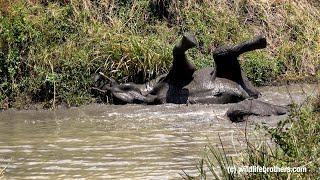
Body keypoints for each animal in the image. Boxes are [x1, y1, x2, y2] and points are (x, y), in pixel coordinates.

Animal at [92, 33, 288, 121]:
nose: (100, 83)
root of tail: (252, 91)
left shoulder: (179, 72)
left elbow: (180, 55)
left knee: (221, 51)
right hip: (231, 70)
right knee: (221, 52)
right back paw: (261, 40)